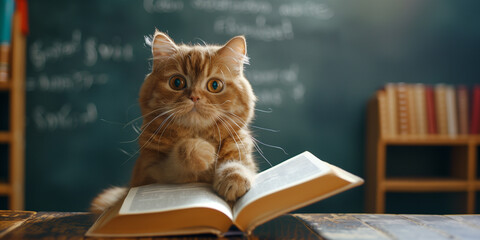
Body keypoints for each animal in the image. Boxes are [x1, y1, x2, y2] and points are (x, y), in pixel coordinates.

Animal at [93, 31, 258, 213]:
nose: (194, 97)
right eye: (177, 82)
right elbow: (181, 157)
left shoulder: (242, 154)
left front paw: (233, 176)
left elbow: (239, 165)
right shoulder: (150, 172)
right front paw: (203, 150)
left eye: (215, 85)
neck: (196, 134)